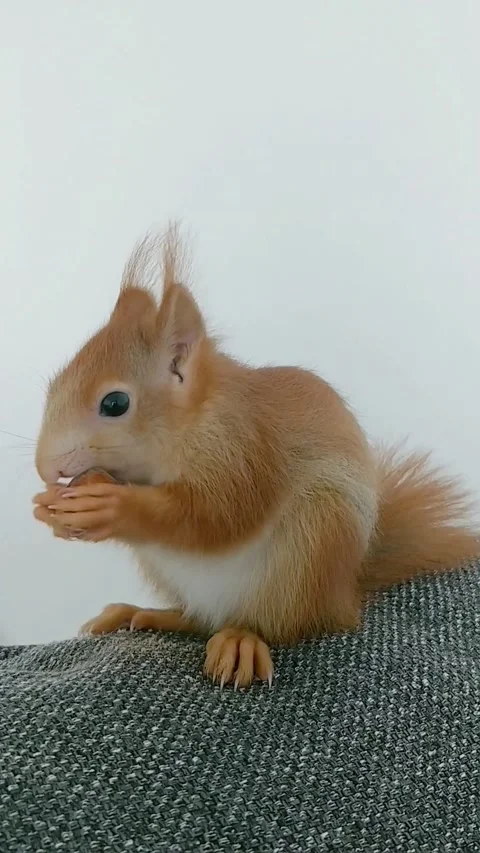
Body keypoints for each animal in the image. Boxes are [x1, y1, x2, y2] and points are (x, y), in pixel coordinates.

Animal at [33, 225, 479, 688]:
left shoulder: (242, 449)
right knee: (199, 619)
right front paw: (51, 510)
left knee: (277, 624)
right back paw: (143, 613)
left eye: (115, 403)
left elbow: (217, 516)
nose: (45, 467)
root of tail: (345, 594)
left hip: (312, 545)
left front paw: (112, 505)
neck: (190, 424)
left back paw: (240, 639)